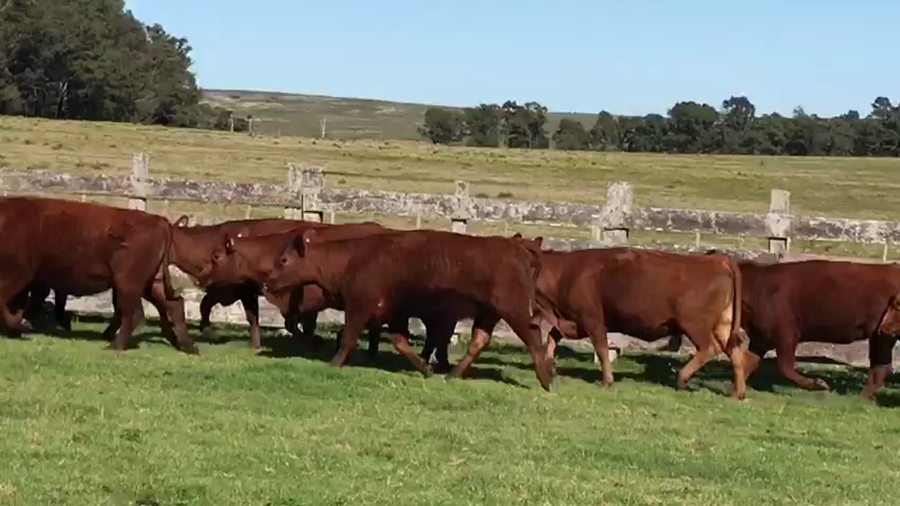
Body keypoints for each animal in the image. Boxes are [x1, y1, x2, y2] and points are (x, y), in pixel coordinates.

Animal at [0, 196, 196, 354]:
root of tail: (159, 221)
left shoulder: (19, 276)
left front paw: (20, 326)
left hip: (127, 284)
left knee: (134, 313)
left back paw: (116, 345)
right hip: (149, 283)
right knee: (174, 305)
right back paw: (187, 346)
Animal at [255, 228, 555, 391]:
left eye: (284, 260)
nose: (267, 281)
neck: (352, 259)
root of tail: (515, 246)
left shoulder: (359, 306)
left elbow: (348, 337)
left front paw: (334, 364)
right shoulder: (394, 314)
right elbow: (401, 342)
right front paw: (426, 368)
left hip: (513, 310)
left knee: (532, 337)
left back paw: (546, 378)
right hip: (488, 313)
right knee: (479, 340)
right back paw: (453, 374)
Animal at [533, 247, 749, 399]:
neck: (565, 273)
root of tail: (717, 259)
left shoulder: (592, 320)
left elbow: (602, 350)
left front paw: (607, 380)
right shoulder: (573, 321)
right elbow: (552, 336)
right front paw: (550, 364)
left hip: (694, 324)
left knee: (708, 348)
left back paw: (682, 377)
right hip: (723, 326)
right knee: (736, 353)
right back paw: (737, 393)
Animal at [737, 259, 900, 399]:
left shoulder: (786, 334)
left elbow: (785, 367)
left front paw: (819, 383)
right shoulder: (760, 338)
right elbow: (747, 363)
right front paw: (735, 394)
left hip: (881, 335)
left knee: (880, 367)